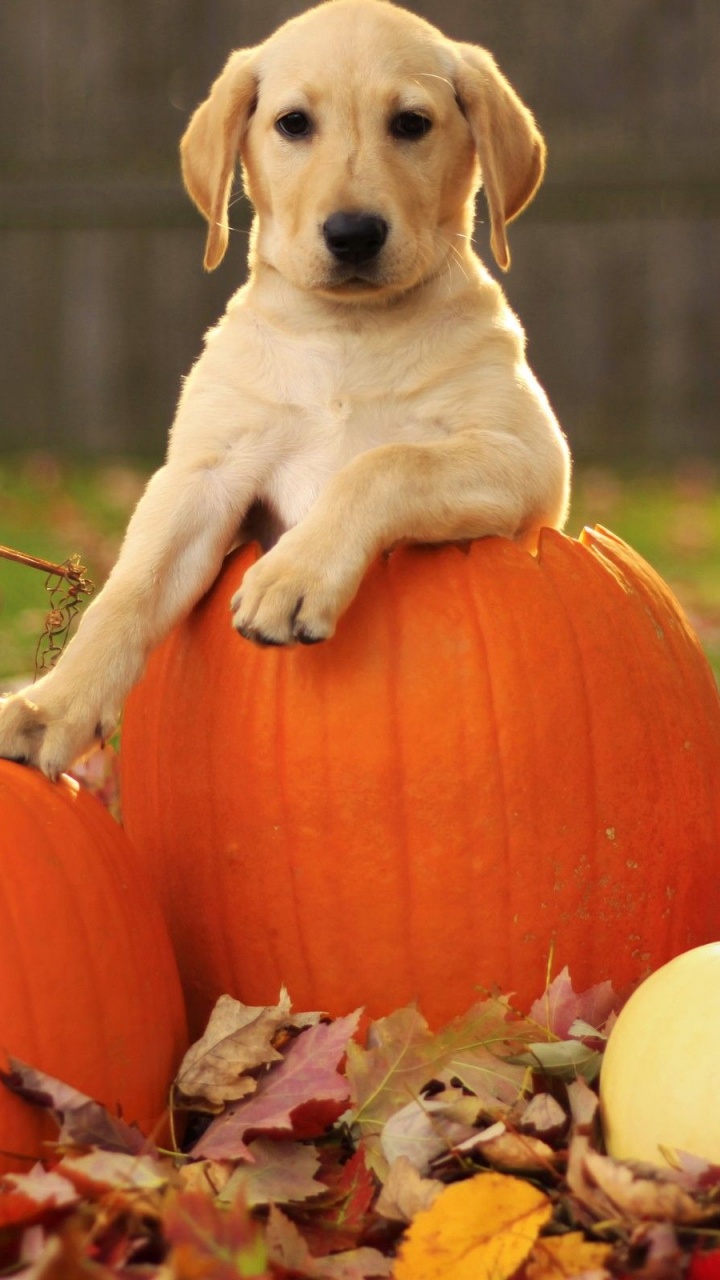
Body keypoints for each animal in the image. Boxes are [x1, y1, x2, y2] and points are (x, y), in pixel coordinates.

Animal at [1, 0, 571, 773]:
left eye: (411, 124)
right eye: (294, 123)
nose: (354, 234)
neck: (347, 334)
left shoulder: (527, 458)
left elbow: (385, 462)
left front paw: (291, 576)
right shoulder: (204, 473)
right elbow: (132, 587)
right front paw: (53, 704)